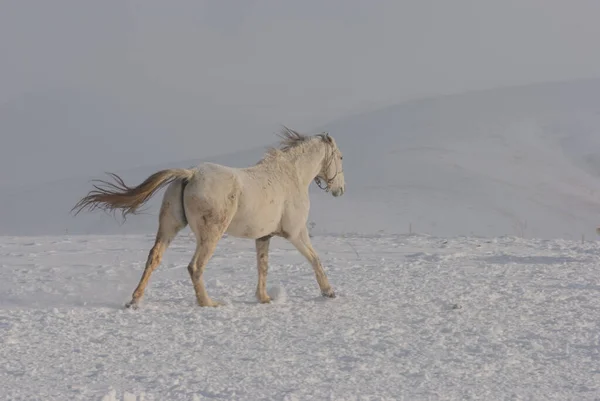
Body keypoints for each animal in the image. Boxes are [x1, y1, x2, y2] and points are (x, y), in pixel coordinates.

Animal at [71, 126, 346, 308]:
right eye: (341, 157)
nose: (340, 190)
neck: (290, 176)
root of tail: (190, 174)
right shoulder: (296, 232)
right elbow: (315, 259)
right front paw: (329, 292)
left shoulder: (263, 237)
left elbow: (263, 266)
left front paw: (264, 298)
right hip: (211, 234)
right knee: (195, 266)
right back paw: (208, 303)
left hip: (169, 227)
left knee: (154, 258)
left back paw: (135, 300)